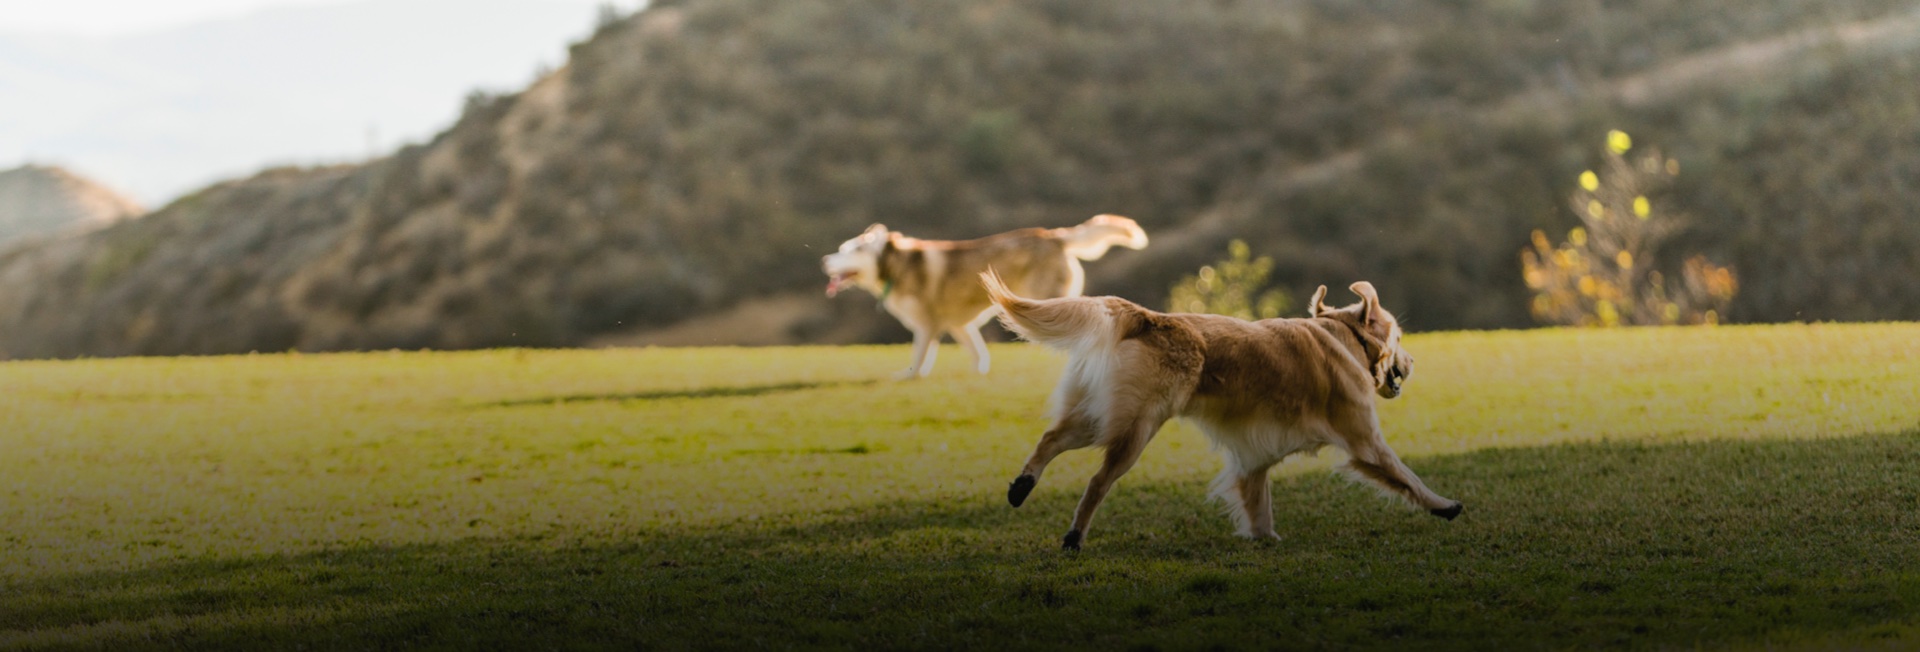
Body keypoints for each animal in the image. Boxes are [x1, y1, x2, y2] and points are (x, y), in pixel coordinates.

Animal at [821, 214, 1144, 377]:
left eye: (846, 251)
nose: (824, 260)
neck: (893, 264)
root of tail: (1053, 235)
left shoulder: (928, 324)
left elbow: (919, 356)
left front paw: (910, 375)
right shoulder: (958, 325)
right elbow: (978, 354)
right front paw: (979, 375)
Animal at [983, 274, 1459, 548]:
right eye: (1399, 337)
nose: (1412, 363)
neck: (1343, 335)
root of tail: (1149, 317)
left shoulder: (1254, 456)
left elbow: (1257, 499)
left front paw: (1264, 538)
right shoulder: (1364, 439)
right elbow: (1406, 476)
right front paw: (1443, 505)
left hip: (1100, 414)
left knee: (1051, 437)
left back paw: (1021, 486)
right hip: (1135, 426)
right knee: (1097, 482)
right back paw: (1073, 536)